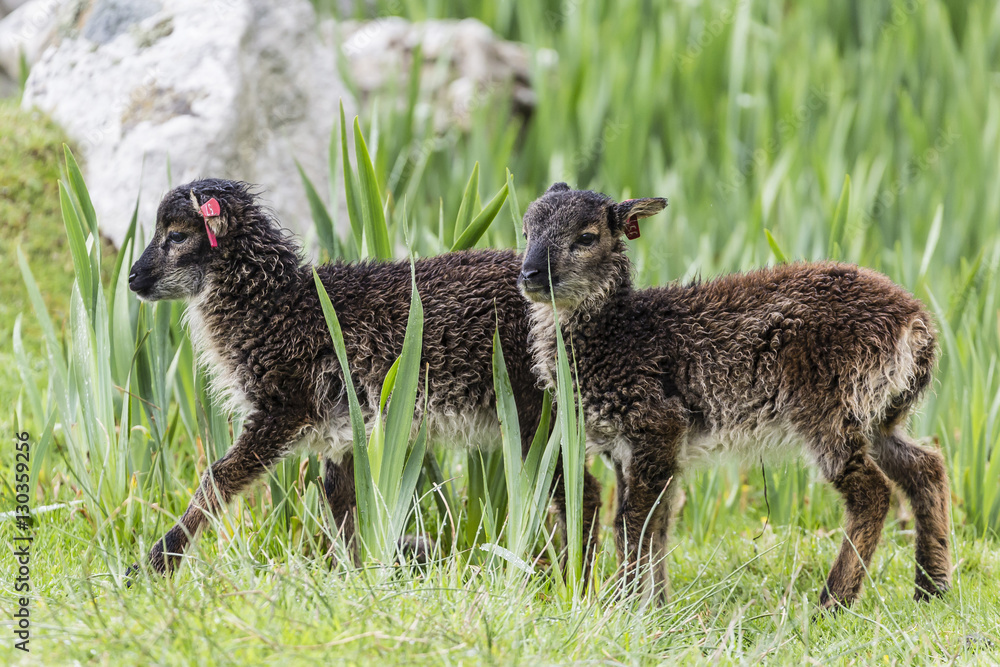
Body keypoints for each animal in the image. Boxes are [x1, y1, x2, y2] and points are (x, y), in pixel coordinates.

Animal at [126, 178, 602, 575]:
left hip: (536, 411)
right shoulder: (342, 426)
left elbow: (217, 477)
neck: (276, 307)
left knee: (582, 492)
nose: (132, 278)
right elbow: (340, 501)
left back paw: (578, 580)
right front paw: (353, 576)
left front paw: (154, 563)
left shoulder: (284, 407)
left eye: (176, 235)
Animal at [517, 182, 951, 609]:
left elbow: (631, 524)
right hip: (878, 413)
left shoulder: (656, 427)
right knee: (925, 467)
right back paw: (932, 589)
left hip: (829, 408)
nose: (530, 274)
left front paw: (624, 607)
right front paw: (655, 608)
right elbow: (656, 525)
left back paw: (831, 603)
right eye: (525, 233)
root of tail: (916, 323)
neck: (619, 331)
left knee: (872, 494)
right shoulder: (637, 451)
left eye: (586, 237)